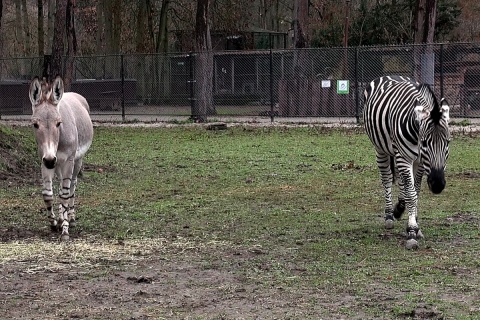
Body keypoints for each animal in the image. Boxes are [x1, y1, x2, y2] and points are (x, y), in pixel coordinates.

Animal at [364, 75, 450, 250]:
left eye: (448, 142)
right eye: (424, 143)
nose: (438, 185)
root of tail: (390, 76)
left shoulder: (419, 162)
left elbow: (415, 191)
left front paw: (415, 223)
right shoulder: (404, 157)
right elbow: (412, 194)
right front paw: (411, 230)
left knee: (401, 180)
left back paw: (399, 209)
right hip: (381, 149)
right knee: (387, 179)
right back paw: (390, 215)